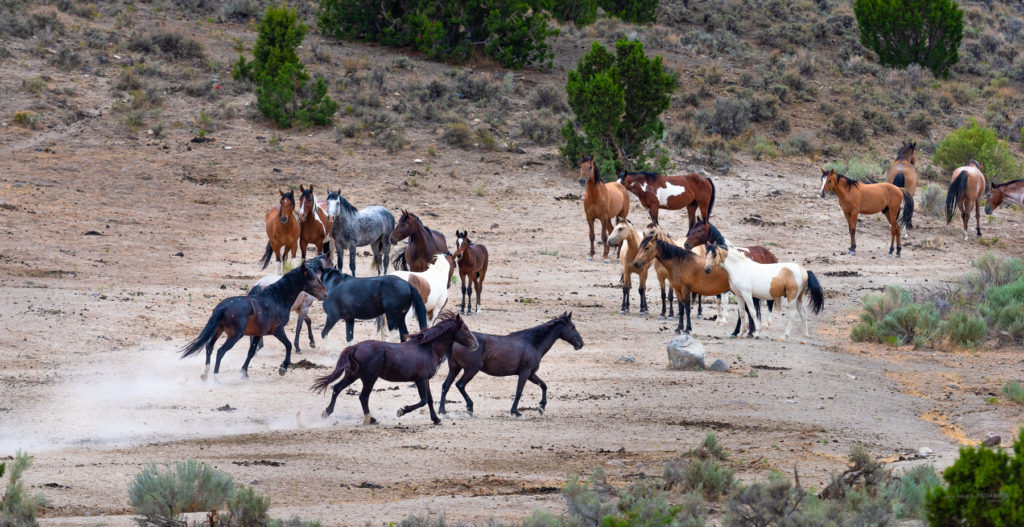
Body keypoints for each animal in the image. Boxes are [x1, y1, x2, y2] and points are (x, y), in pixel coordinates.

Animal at [180, 255, 327, 378]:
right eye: (313, 278)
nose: (325, 294)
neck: (276, 299)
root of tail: (222, 307)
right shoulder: (278, 330)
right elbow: (289, 345)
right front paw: (284, 368)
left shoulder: (258, 333)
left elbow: (251, 352)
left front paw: (244, 373)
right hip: (234, 335)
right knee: (220, 351)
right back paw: (216, 378)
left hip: (218, 330)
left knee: (209, 347)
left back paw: (205, 375)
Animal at [309, 313, 477, 425]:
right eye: (465, 328)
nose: (476, 344)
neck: (427, 348)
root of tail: (355, 347)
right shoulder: (421, 380)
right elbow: (423, 400)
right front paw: (401, 411)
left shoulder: (425, 380)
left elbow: (429, 400)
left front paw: (436, 419)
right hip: (369, 378)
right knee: (363, 397)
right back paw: (371, 419)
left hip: (352, 375)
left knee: (337, 388)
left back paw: (327, 412)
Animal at [438, 311, 585, 419]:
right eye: (573, 327)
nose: (581, 344)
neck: (532, 343)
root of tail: (455, 341)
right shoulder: (525, 373)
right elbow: (519, 391)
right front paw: (515, 411)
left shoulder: (531, 373)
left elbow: (543, 385)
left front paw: (541, 407)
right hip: (471, 370)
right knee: (460, 385)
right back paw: (469, 407)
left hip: (455, 369)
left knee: (446, 385)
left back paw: (442, 411)